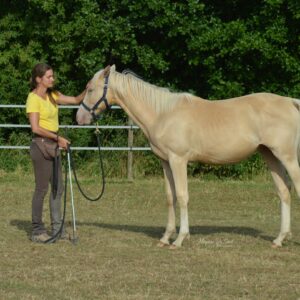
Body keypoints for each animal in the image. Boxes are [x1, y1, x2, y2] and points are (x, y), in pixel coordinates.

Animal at [76, 65, 300, 248]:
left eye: (90, 89)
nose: (79, 118)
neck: (162, 114)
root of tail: (291, 102)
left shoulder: (178, 160)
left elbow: (183, 196)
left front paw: (180, 239)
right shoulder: (166, 162)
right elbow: (170, 197)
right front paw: (165, 237)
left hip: (287, 157)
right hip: (270, 155)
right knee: (284, 191)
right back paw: (279, 239)